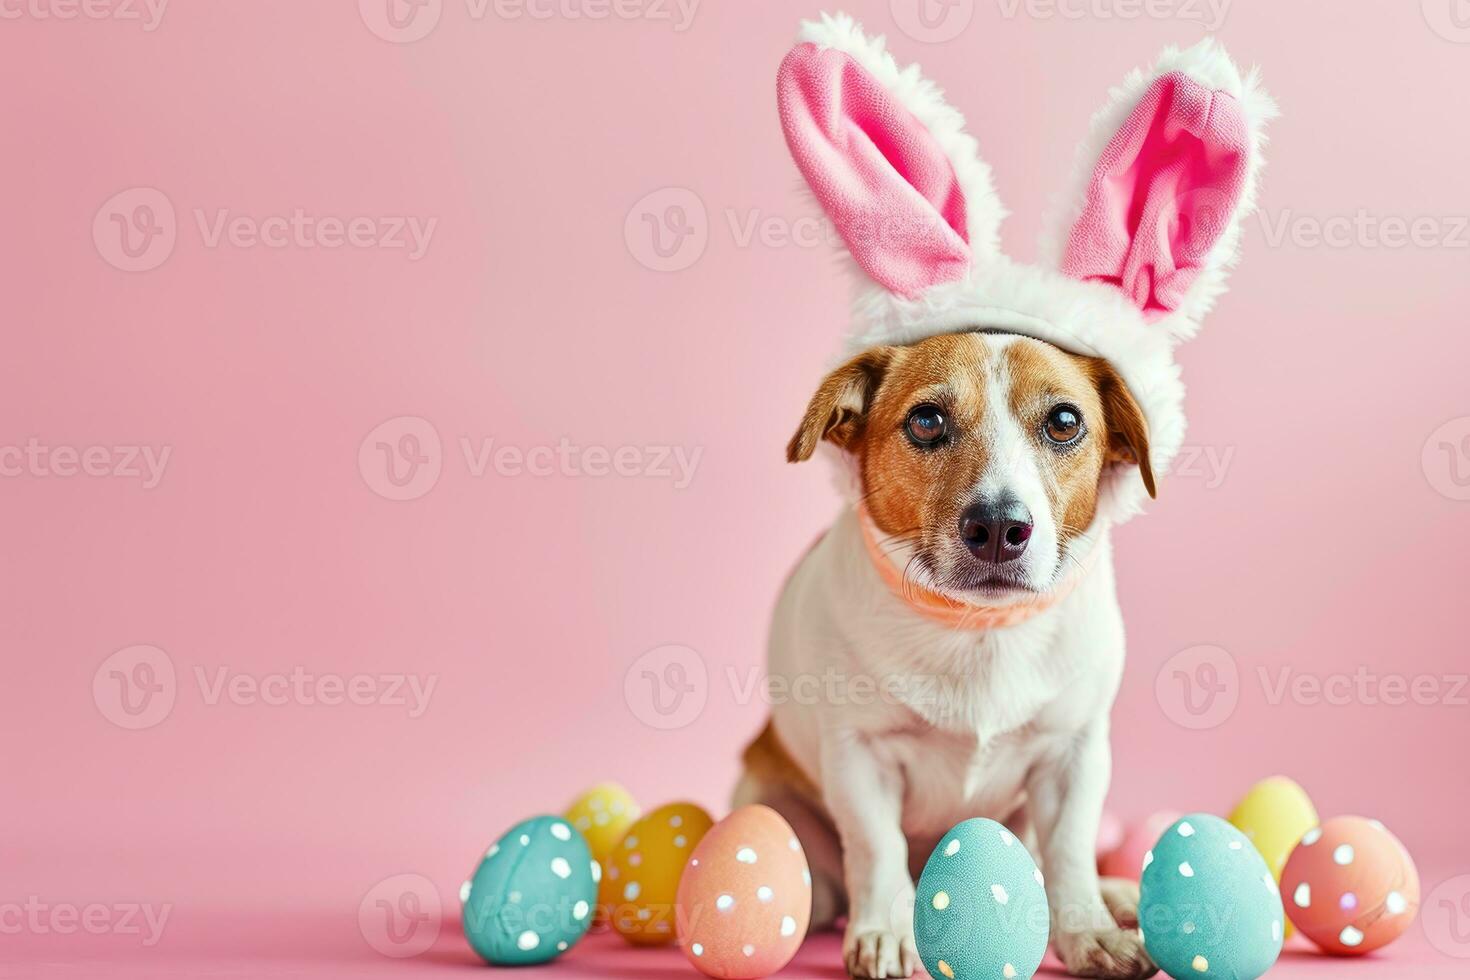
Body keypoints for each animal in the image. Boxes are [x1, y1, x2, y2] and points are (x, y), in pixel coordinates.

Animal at [735, 13, 1275, 980]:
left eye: (1064, 422)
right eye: (924, 422)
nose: (999, 527)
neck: (978, 635)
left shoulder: (1072, 760)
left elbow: (1065, 854)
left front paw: (1088, 928)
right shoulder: (859, 759)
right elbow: (876, 851)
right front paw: (887, 931)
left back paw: (1119, 895)